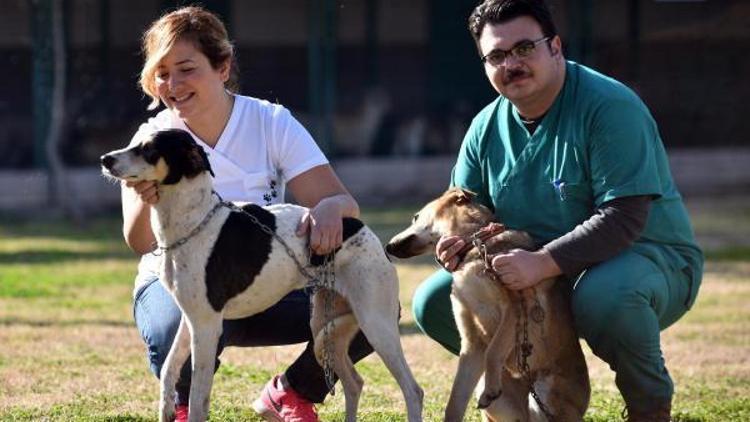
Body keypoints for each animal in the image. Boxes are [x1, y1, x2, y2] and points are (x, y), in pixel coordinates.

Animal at [101, 128, 424, 422]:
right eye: (135, 143)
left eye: (148, 150)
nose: (105, 159)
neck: (194, 221)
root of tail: (365, 231)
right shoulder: (190, 319)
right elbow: (170, 369)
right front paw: (166, 409)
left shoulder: (206, 326)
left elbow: (198, 398)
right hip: (325, 328)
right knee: (354, 384)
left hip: (375, 323)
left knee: (412, 390)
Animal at [384, 189, 592, 422]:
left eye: (415, 217)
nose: (387, 247)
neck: (476, 244)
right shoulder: (471, 342)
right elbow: (455, 401)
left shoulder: (515, 307)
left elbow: (493, 351)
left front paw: (491, 388)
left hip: (546, 394)